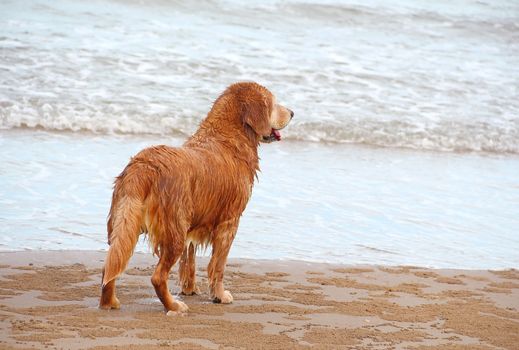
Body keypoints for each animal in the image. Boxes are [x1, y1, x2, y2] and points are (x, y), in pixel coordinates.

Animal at [98, 82, 292, 314]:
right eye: (273, 103)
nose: (292, 113)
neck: (228, 137)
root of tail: (144, 165)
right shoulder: (229, 222)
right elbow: (218, 266)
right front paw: (219, 295)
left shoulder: (193, 223)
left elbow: (188, 261)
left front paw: (190, 289)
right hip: (174, 230)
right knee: (157, 277)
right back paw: (174, 305)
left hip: (123, 222)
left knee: (110, 264)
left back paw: (109, 302)